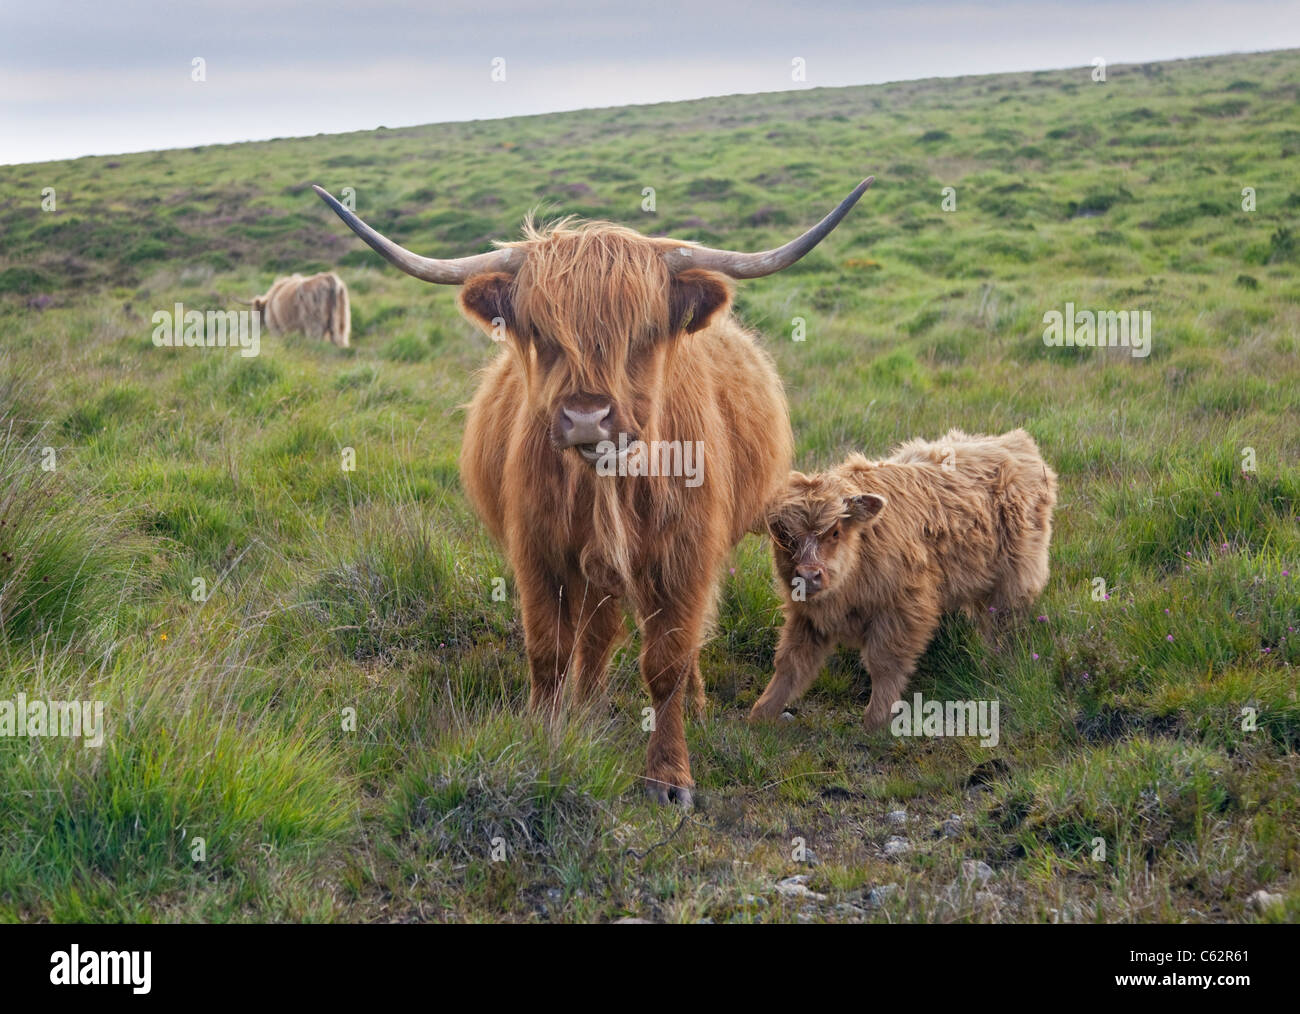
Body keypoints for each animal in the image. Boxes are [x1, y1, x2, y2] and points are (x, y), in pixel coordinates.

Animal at [314, 178, 873, 806]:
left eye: (644, 333)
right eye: (542, 333)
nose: (587, 417)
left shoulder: (685, 557)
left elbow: (667, 660)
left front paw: (669, 776)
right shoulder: (539, 554)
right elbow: (549, 650)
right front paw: (543, 738)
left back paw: (693, 701)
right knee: (599, 634)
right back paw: (588, 704)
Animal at [754, 428, 1055, 728]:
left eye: (835, 532)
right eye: (784, 537)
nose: (808, 575)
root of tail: (1014, 441)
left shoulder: (902, 609)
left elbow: (884, 664)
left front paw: (875, 721)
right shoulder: (806, 616)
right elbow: (791, 663)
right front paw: (761, 713)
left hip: (1015, 579)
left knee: (1001, 626)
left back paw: (992, 665)